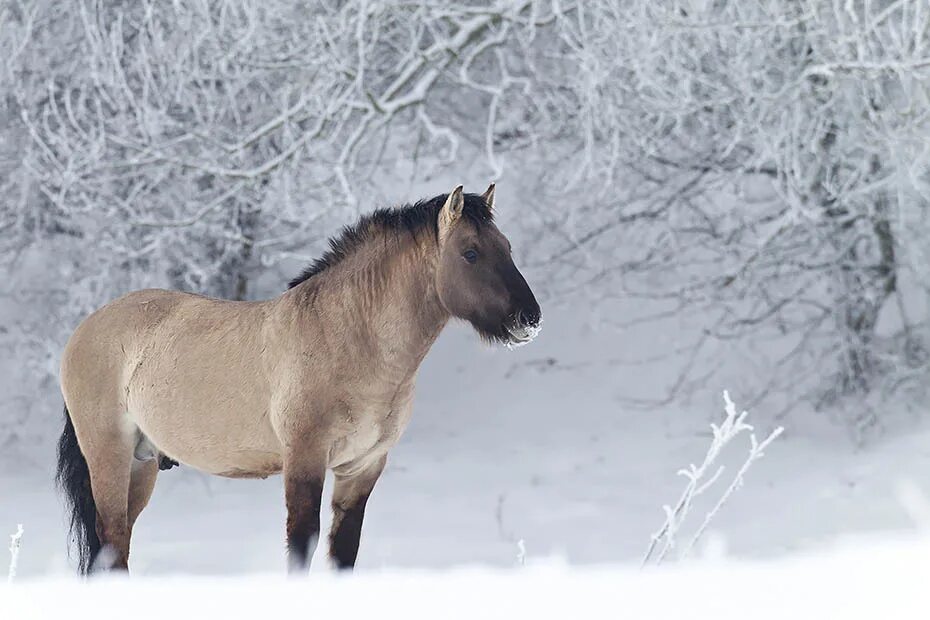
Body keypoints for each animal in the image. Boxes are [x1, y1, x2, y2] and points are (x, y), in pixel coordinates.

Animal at [54, 185, 540, 576]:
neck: (346, 339)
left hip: (143, 464)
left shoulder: (362, 467)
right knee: (111, 539)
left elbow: (343, 552)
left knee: (117, 542)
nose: (529, 318)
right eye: (471, 252)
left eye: (507, 247)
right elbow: (301, 544)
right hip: (110, 455)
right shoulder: (304, 460)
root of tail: (86, 329)